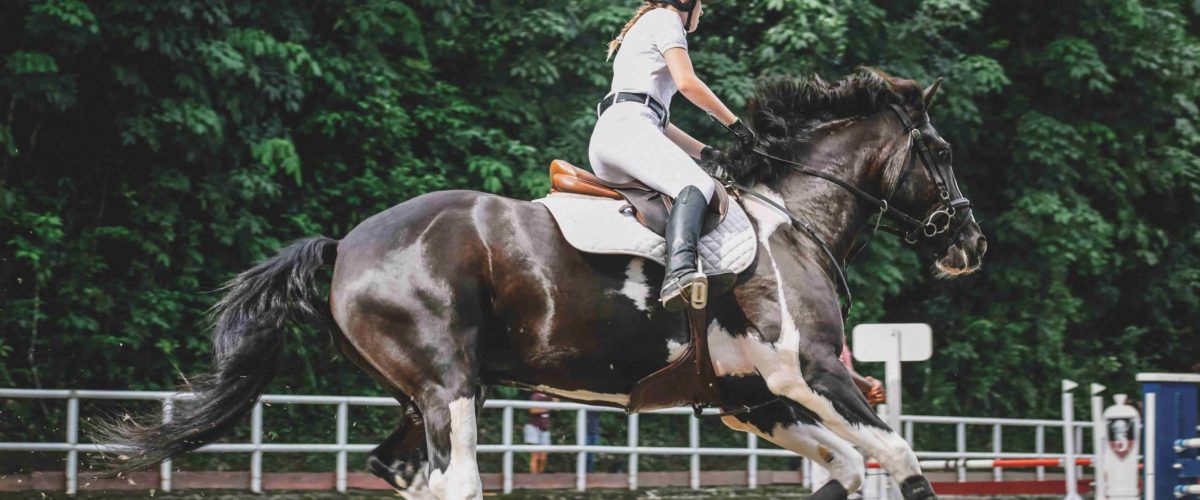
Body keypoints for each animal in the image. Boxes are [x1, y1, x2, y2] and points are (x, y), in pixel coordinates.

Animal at [94, 69, 986, 500]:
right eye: (940, 153)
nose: (971, 244)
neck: (792, 216)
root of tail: (347, 243)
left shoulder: (755, 400)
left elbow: (847, 469)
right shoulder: (813, 373)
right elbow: (900, 457)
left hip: (419, 394)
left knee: (403, 473)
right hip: (449, 386)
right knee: (454, 481)